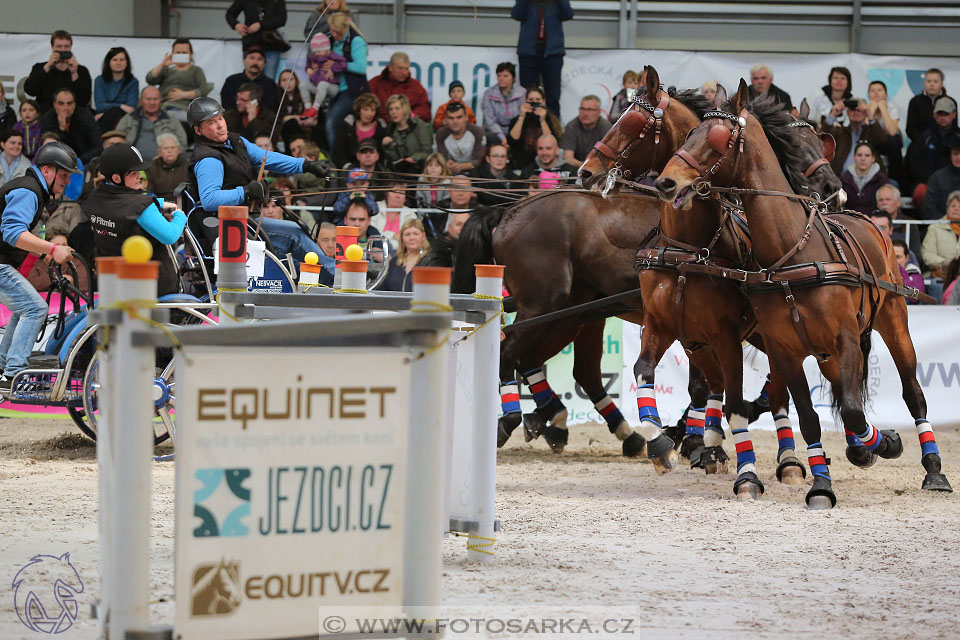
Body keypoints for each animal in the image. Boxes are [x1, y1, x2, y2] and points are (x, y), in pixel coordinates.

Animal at [576, 67, 840, 496]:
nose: (586, 170)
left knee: (776, 393)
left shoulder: (726, 333)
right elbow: (644, 373)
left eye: (633, 124)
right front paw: (662, 445)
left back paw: (788, 459)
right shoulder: (666, 326)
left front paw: (742, 468)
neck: (688, 246)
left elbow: (734, 401)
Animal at [652, 81, 952, 510]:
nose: (667, 182)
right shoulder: (786, 349)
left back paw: (932, 469)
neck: (791, 250)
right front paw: (822, 484)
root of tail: (870, 222)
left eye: (717, 139)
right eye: (691, 132)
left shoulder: (844, 340)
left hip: (894, 324)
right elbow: (812, 418)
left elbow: (853, 412)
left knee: (913, 395)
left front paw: (886, 443)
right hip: (824, 352)